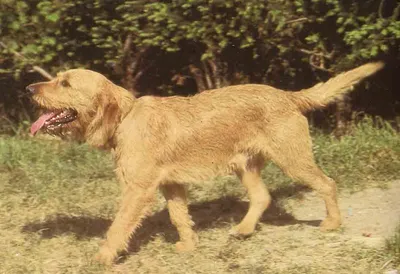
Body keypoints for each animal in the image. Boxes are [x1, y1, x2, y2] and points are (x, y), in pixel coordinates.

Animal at [26, 61, 382, 264]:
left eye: (66, 83)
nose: (28, 88)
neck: (126, 118)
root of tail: (287, 96)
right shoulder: (171, 185)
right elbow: (179, 217)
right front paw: (188, 244)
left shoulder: (138, 191)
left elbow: (118, 227)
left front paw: (102, 258)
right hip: (245, 166)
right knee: (262, 196)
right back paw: (243, 230)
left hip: (293, 160)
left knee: (327, 183)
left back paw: (332, 223)